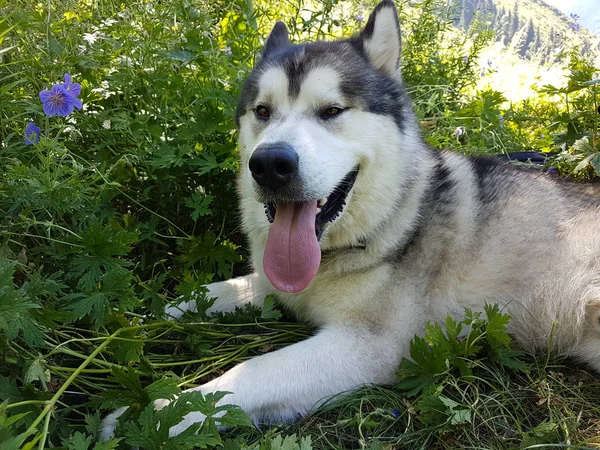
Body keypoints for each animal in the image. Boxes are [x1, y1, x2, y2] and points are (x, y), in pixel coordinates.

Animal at [99, 0, 600, 440]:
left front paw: (156, 414)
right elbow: (204, 294)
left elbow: (253, 370)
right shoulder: (273, 285)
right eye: (262, 111)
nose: (270, 165)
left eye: (332, 111)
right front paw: (131, 319)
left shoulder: (367, 347)